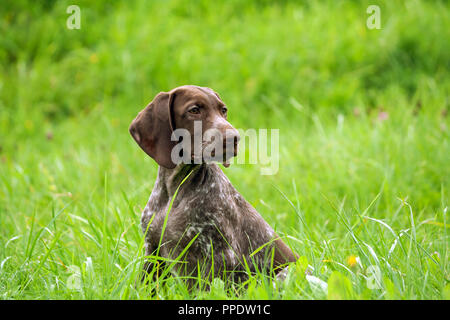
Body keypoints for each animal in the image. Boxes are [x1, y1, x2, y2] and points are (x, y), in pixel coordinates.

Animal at [129, 84, 296, 284]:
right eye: (194, 110)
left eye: (223, 110)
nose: (234, 138)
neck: (175, 190)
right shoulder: (153, 252)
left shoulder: (221, 256)